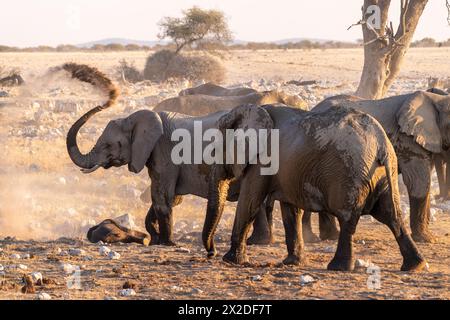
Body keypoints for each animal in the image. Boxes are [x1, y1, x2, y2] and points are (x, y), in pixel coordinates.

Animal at [203, 104, 426, 272]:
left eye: (214, 150)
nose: (211, 253)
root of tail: (381, 142)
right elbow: (290, 210)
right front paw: (292, 263)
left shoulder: (261, 160)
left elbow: (250, 200)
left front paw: (230, 260)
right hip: (382, 175)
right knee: (391, 216)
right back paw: (415, 266)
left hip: (350, 172)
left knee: (348, 217)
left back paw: (338, 267)